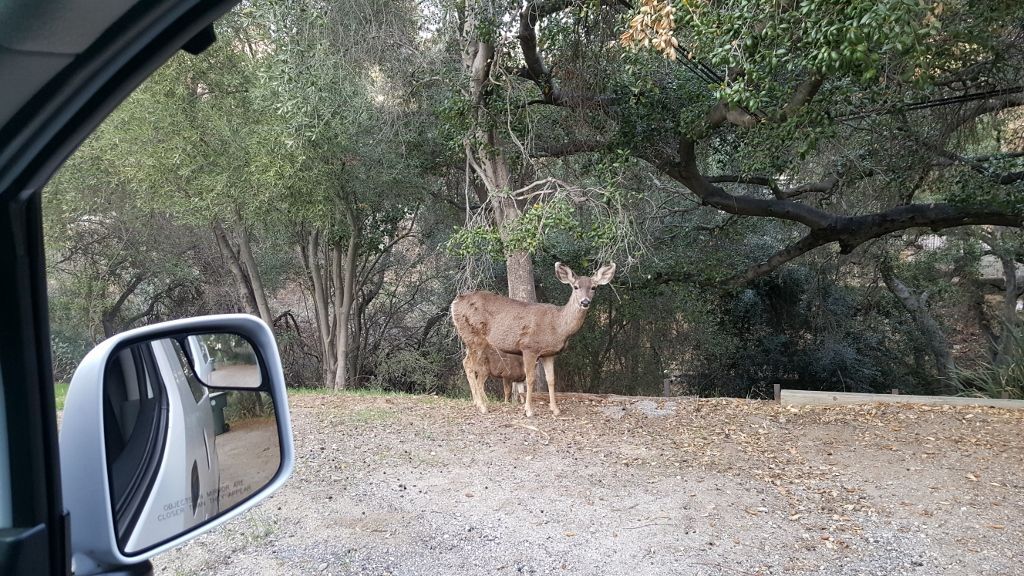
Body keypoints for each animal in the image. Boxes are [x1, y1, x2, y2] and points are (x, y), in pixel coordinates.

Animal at [451, 262, 616, 417]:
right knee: (468, 365)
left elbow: (551, 380)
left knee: (466, 363)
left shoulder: (549, 353)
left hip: (470, 340)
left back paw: (477, 403)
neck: (558, 326)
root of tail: (454, 304)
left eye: (594, 287)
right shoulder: (529, 347)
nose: (585, 302)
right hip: (473, 336)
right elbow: (530, 379)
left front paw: (555, 410)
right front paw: (529, 410)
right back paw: (482, 406)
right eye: (575, 287)